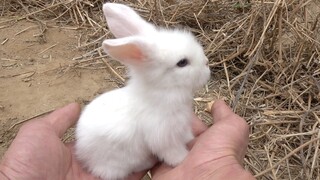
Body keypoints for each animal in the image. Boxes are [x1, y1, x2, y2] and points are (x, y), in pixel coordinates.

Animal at [75, 2, 210, 180]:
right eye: (182, 63)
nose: (207, 63)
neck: (164, 90)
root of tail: (83, 154)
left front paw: (190, 139)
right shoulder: (163, 137)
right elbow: (172, 152)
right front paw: (183, 159)